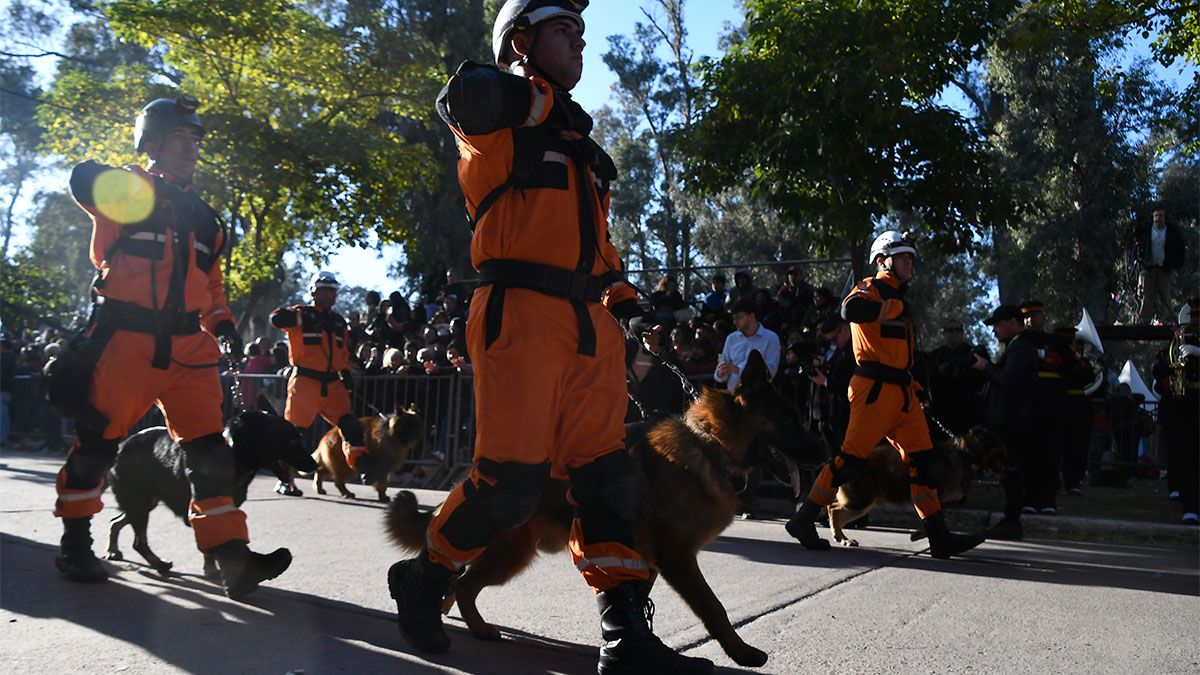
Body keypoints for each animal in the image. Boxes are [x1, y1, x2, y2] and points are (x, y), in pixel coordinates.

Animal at [105, 396, 316, 576]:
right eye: (292, 441)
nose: (314, 465)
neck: (234, 453)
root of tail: (123, 446)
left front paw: (212, 567)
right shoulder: (202, 507)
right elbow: (212, 541)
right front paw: (215, 568)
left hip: (145, 502)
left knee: (116, 522)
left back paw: (113, 550)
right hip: (139, 502)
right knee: (138, 542)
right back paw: (159, 564)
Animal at [381, 348, 825, 662]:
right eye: (790, 420)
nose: (825, 454)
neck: (708, 444)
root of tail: (468, 477)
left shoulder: (646, 558)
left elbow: (635, 597)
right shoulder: (677, 556)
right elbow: (713, 606)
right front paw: (741, 652)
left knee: (456, 578)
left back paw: (440, 610)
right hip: (510, 553)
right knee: (462, 581)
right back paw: (463, 624)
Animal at [830, 425, 1008, 547]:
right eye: (1001, 450)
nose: (1012, 467)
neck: (963, 454)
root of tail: (840, 460)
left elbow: (937, 519)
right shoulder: (934, 497)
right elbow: (935, 519)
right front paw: (918, 536)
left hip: (864, 504)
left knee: (837, 512)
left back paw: (842, 538)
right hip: (861, 500)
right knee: (833, 508)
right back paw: (839, 534)